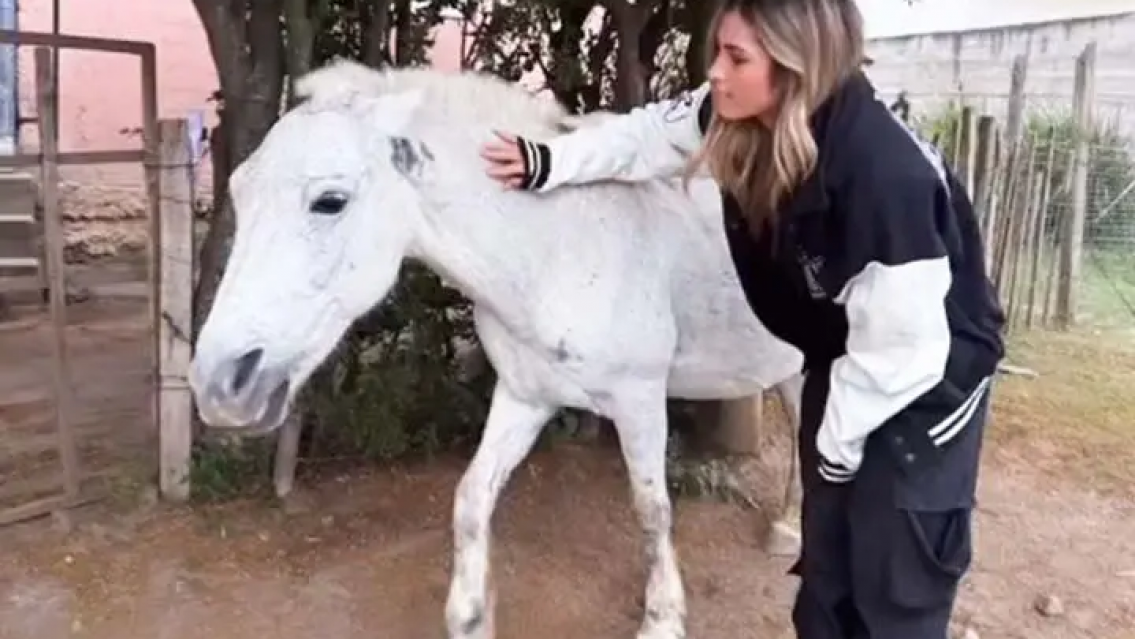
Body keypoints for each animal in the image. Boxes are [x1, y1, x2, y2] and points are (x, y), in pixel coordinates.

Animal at [188, 59, 806, 639]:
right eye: (238, 192)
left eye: (329, 201)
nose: (220, 384)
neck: (562, 246)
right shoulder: (524, 397)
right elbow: (471, 498)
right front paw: (470, 615)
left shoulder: (641, 403)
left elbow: (652, 511)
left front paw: (662, 617)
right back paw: (789, 525)